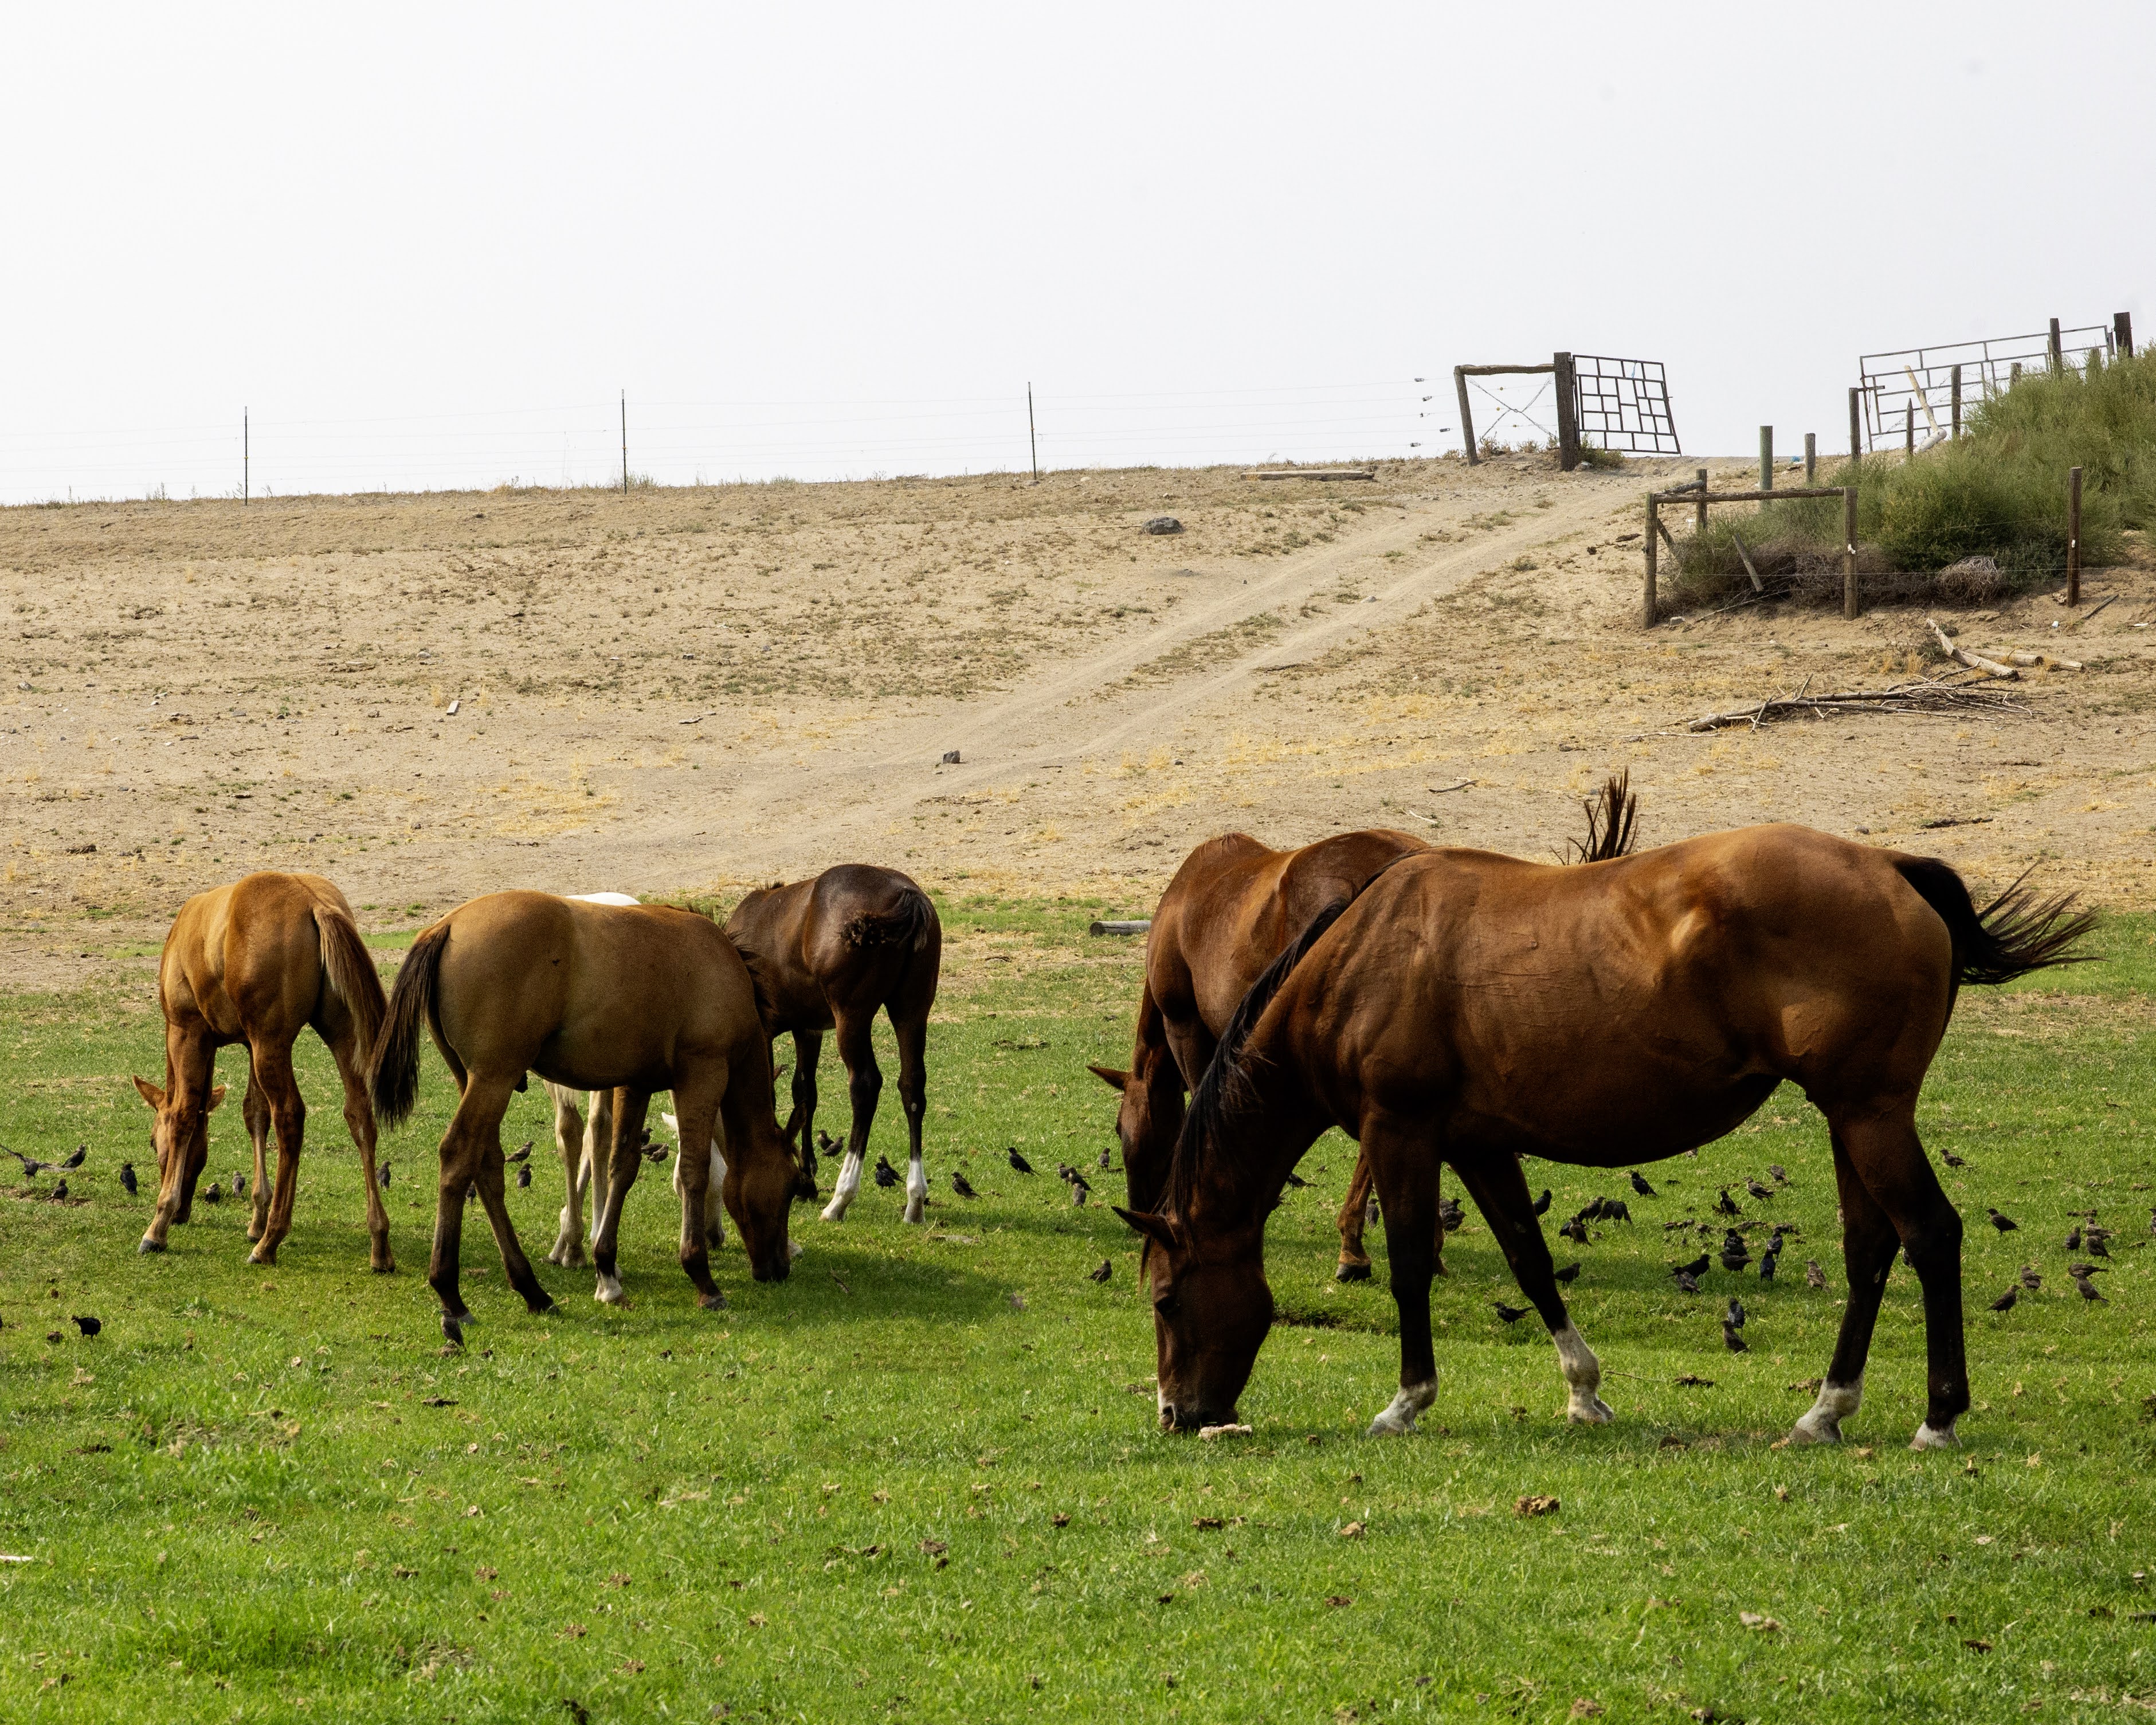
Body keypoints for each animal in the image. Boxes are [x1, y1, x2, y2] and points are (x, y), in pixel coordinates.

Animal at [133, 871, 392, 1270]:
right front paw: (256, 1216)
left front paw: (159, 1223)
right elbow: (254, 1115)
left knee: (290, 1116)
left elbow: (183, 1114)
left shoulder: (188, 1032)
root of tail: (313, 902)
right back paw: (379, 1242)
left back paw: (271, 1240)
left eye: (151, 1141)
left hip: (272, 1045)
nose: (181, 1216)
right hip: (338, 1034)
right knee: (359, 1115)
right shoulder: (248, 1042)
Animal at [367, 891, 803, 1343]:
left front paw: (607, 1269)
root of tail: (446, 925)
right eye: (793, 1186)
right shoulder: (702, 1075)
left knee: (486, 1168)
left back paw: (532, 1290)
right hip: (493, 1079)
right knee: (458, 1158)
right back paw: (451, 1294)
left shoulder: (636, 1084)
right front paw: (702, 1277)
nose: (778, 1269)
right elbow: (694, 1172)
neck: (722, 968)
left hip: (472, 1078)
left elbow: (621, 1167)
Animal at [724, 865, 941, 1225]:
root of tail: (906, 896)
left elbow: (772, 1096)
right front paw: (806, 1177)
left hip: (852, 1018)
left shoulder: (764, 1031)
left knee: (866, 1086)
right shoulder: (809, 1029)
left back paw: (841, 1199)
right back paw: (915, 1202)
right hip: (912, 1011)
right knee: (912, 1087)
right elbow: (804, 1094)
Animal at [1116, 825, 2090, 1451]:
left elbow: (1409, 1267)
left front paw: (1407, 1400)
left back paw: (1938, 1413)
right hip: (1850, 1118)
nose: (1175, 1414)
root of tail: (1890, 865)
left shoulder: (1403, 1132)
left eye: (1165, 1299)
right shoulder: (1478, 1143)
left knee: (1930, 1236)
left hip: (1867, 1113)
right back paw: (1825, 1408)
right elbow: (1529, 1258)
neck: (1359, 958)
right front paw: (1583, 1389)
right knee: (1870, 1251)